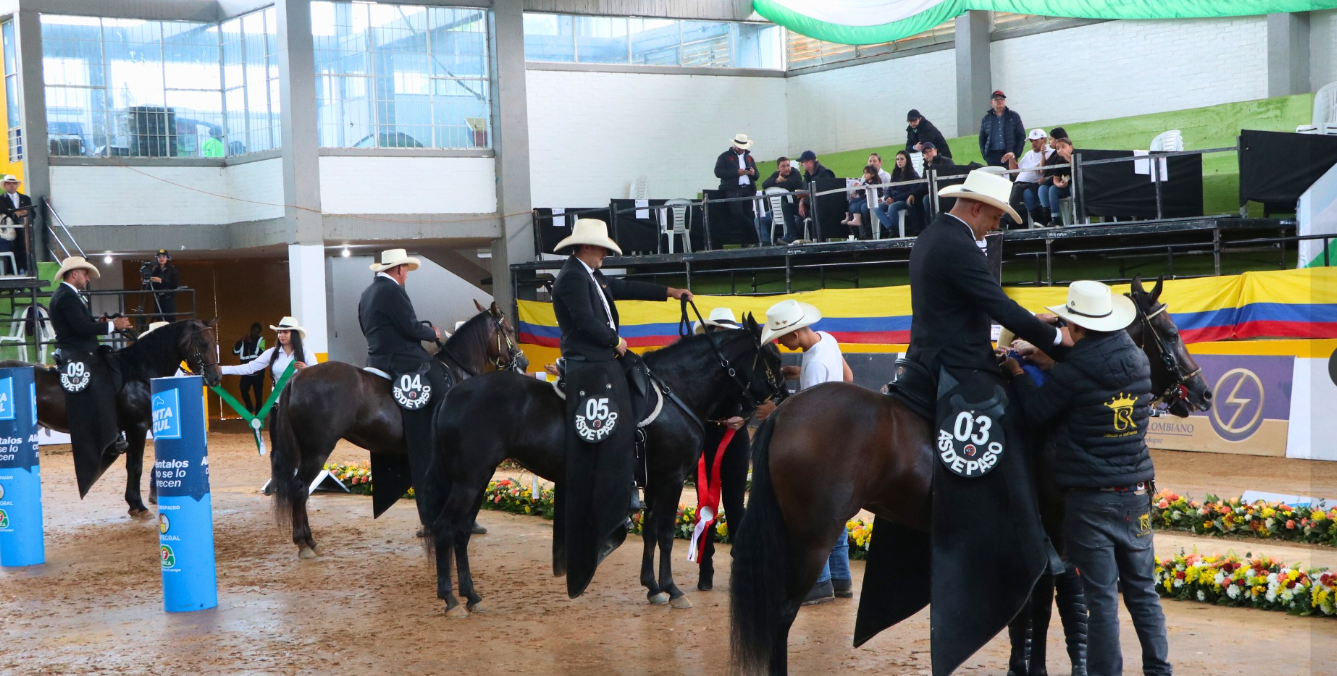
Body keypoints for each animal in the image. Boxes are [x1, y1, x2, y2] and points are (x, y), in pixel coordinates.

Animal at [0, 319, 221, 521]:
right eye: (203, 344)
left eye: (213, 342)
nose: (216, 377)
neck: (138, 372)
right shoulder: (137, 427)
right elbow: (135, 466)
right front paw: (138, 506)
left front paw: (137, 502)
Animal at [268, 300, 524, 561]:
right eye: (510, 329)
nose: (523, 364)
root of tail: (297, 378)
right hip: (317, 450)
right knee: (300, 489)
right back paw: (304, 544)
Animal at [422, 312, 786, 617]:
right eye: (774, 357)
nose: (783, 396)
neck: (675, 391)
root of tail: (451, 395)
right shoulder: (670, 478)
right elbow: (665, 534)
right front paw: (672, 589)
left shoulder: (654, 481)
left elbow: (650, 532)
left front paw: (652, 587)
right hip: (470, 480)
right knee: (445, 528)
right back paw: (451, 599)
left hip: (477, 479)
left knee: (461, 532)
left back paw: (471, 596)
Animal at [727, 275, 1219, 676]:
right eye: (1171, 333)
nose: (1203, 391)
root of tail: (786, 411)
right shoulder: (1056, 533)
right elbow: (1048, 605)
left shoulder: (1032, 539)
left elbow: (1030, 608)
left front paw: (1022, 666)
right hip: (810, 536)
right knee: (782, 611)